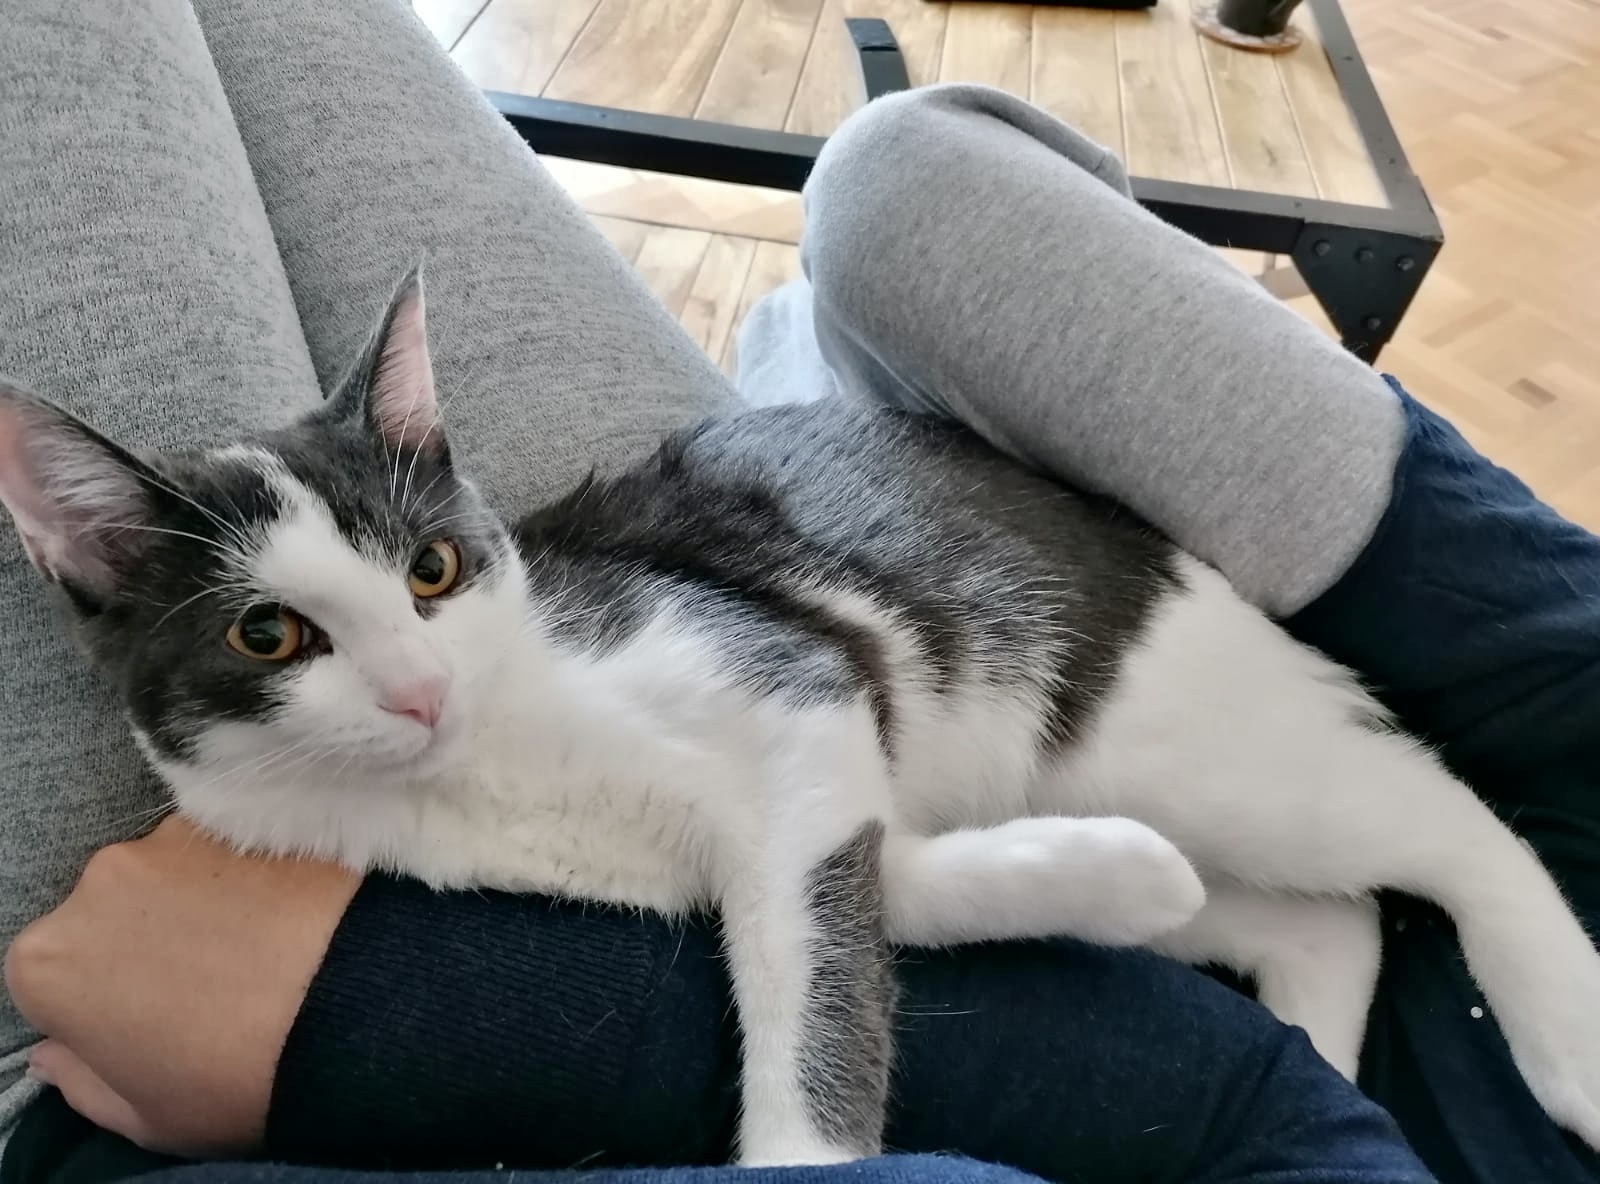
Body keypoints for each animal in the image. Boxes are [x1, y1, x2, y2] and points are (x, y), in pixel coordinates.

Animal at [2, 270, 1599, 1166]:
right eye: (269, 633)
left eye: (432, 570)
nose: (420, 686)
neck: (492, 762)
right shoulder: (794, 800)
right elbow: (867, 887)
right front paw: (1101, 878)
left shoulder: (794, 684)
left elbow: (814, 947)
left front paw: (809, 1146)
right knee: (1328, 916)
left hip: (1187, 739)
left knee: (1443, 820)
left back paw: (1563, 1028)